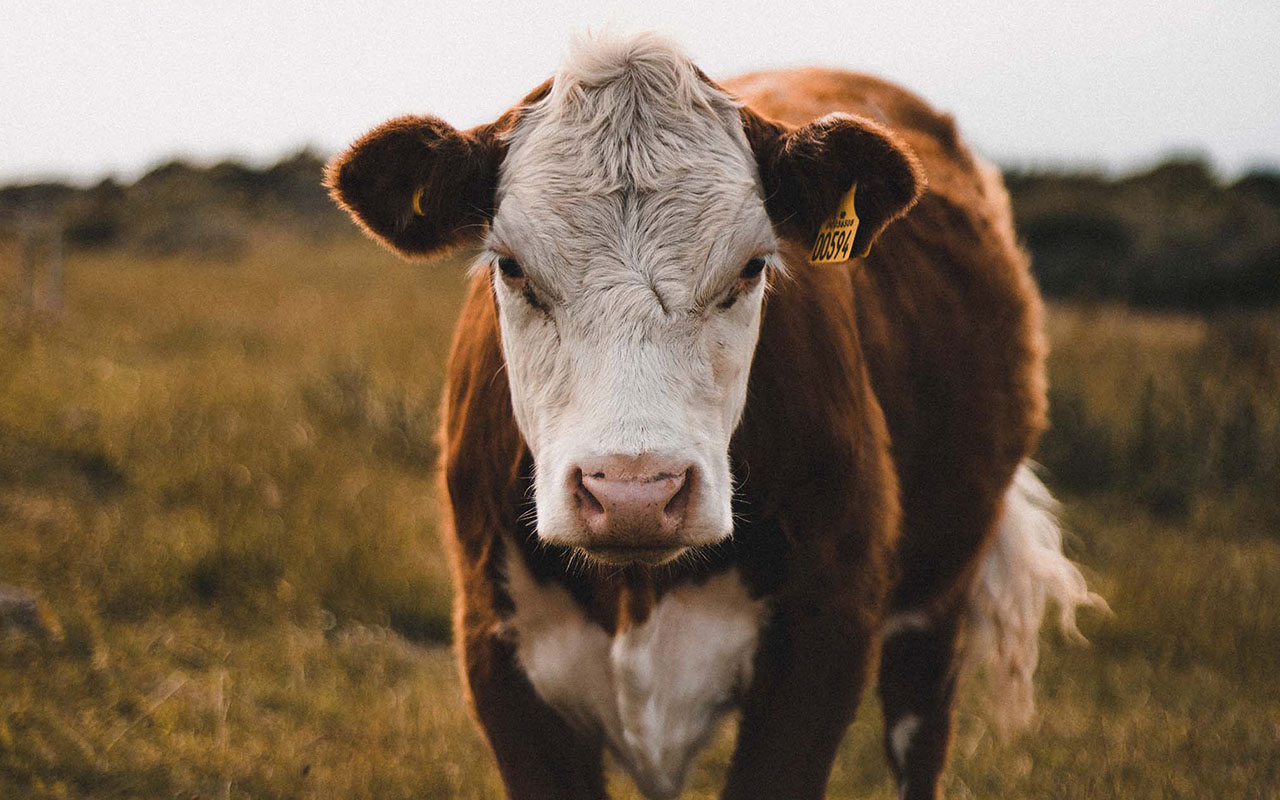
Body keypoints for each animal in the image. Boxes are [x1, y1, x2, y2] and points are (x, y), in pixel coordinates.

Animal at [325, 32, 1104, 800]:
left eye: (752, 266)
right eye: (511, 266)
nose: (634, 494)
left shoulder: (826, 638)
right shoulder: (496, 650)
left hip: (940, 596)